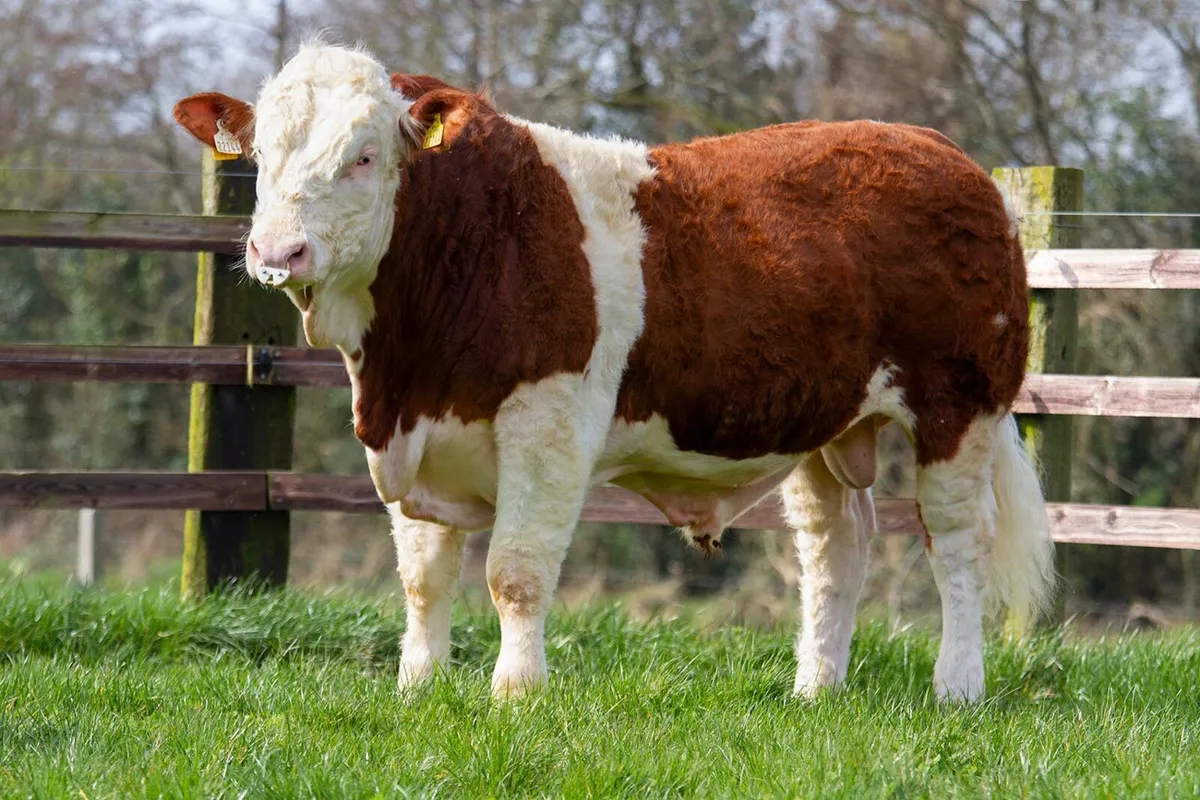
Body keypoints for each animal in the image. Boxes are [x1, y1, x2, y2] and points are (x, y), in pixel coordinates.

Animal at [174, 43, 1054, 703]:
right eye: (260, 156)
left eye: (361, 156)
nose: (276, 252)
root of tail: (937, 147)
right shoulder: (408, 433)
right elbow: (424, 578)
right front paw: (417, 688)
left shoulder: (549, 426)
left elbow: (515, 573)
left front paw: (516, 693)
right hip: (824, 421)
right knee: (836, 547)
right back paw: (815, 689)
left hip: (959, 405)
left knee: (957, 542)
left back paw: (957, 686)